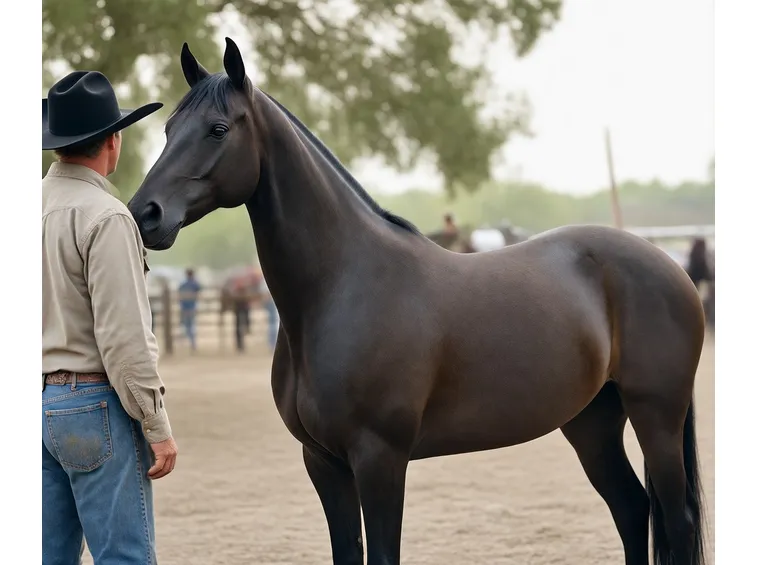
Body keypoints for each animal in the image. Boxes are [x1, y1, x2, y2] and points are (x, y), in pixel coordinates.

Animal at [128, 38, 707, 565]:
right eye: (168, 130)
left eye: (218, 129)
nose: (144, 213)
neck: (340, 287)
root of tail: (667, 264)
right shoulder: (323, 462)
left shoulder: (380, 458)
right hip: (592, 422)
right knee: (632, 510)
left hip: (656, 415)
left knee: (674, 523)